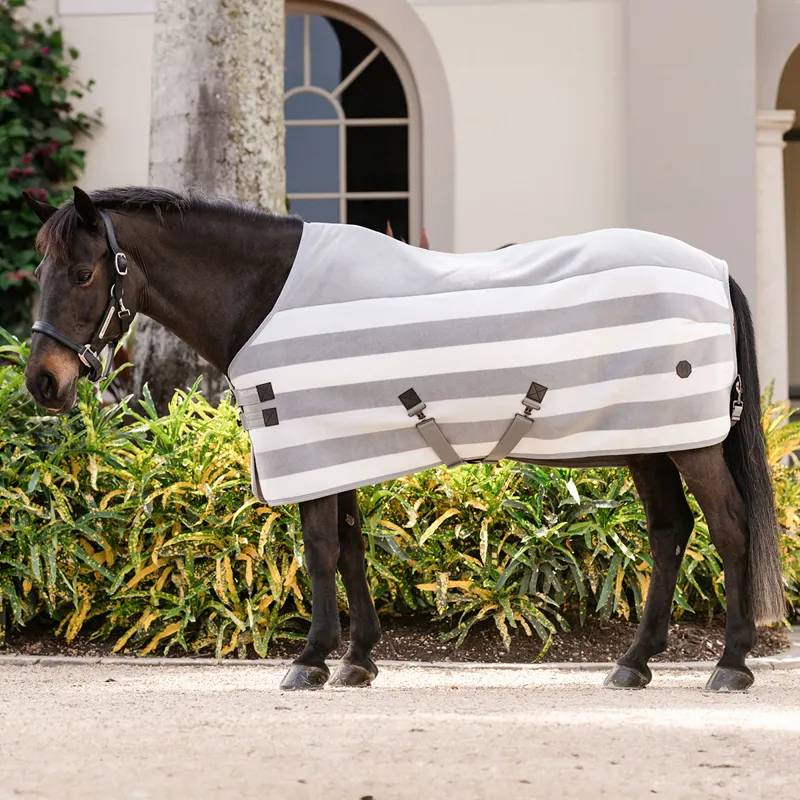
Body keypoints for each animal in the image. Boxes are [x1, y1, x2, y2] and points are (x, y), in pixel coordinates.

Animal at [21, 186, 785, 693]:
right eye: (41, 272)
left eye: (83, 273)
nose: (43, 382)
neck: (267, 297)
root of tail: (716, 269)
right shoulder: (341, 450)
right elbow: (351, 547)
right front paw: (357, 659)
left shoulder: (312, 445)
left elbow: (321, 550)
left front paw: (310, 660)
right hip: (650, 438)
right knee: (671, 530)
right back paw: (634, 663)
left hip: (688, 442)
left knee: (729, 526)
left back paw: (731, 665)